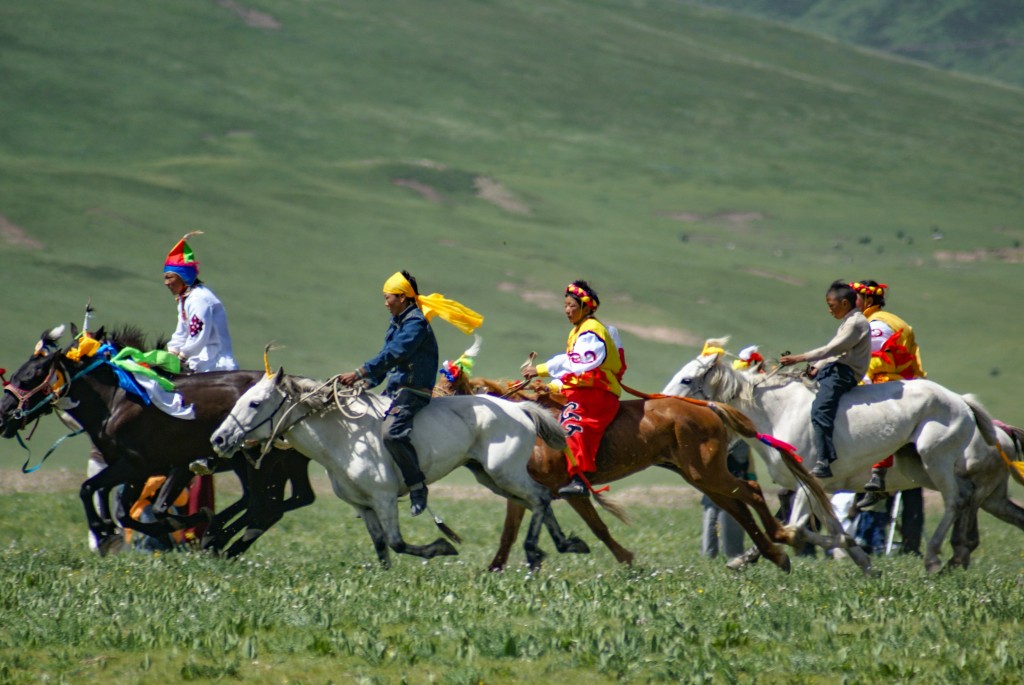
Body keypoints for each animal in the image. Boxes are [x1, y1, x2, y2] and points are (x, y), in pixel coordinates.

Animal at [0, 325, 311, 557]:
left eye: (30, 377)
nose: (3, 415)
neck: (115, 401)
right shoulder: (135, 470)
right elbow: (115, 504)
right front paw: (108, 530)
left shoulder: (141, 466)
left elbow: (94, 490)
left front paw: (107, 531)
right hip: (266, 464)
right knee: (282, 501)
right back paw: (221, 540)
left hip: (259, 463)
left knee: (262, 504)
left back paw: (216, 539)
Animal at [211, 366, 589, 569]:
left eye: (255, 403)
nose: (219, 438)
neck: (344, 439)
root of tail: (520, 408)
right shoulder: (364, 506)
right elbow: (381, 546)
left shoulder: (385, 498)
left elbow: (396, 541)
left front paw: (442, 547)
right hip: (490, 477)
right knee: (539, 500)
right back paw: (562, 546)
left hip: (504, 473)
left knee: (539, 497)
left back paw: (539, 549)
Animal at [436, 348, 860, 573]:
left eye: (445, 392)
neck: (527, 424)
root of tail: (706, 405)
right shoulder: (525, 493)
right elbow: (509, 533)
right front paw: (494, 569)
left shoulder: (565, 490)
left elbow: (598, 528)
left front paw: (625, 559)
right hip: (702, 477)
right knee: (737, 506)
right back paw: (771, 553)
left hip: (707, 473)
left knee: (751, 491)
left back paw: (782, 541)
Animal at [659, 337, 1019, 573]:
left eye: (687, 379)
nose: (662, 405)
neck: (777, 413)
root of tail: (962, 401)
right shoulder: (821, 489)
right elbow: (831, 527)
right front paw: (865, 563)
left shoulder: (806, 485)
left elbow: (797, 529)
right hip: (930, 472)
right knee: (978, 502)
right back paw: (958, 555)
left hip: (937, 460)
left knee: (955, 501)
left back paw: (935, 558)